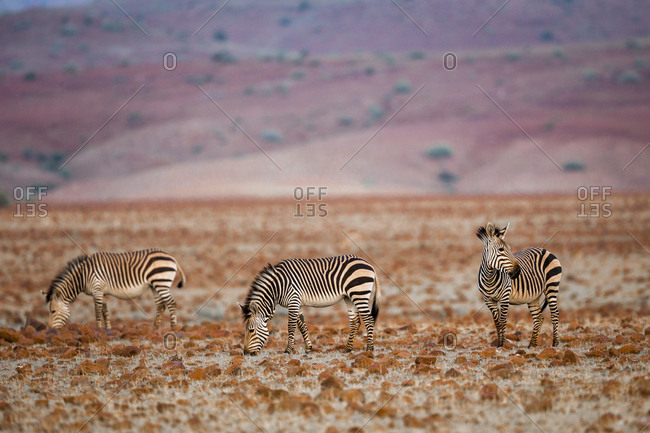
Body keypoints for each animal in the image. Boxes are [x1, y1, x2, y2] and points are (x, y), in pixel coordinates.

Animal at [45, 248, 185, 330]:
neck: (83, 276)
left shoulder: (97, 289)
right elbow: (105, 312)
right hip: (155, 285)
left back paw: (173, 327)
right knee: (161, 305)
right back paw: (155, 327)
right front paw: (108, 329)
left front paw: (97, 329)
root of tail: (171, 257)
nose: (49, 329)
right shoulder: (103, 292)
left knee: (172, 303)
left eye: (53, 311)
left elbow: (97, 311)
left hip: (161, 282)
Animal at [239, 255, 380, 352]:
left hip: (359, 293)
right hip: (349, 297)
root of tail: (369, 264)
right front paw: (308, 348)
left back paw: (369, 348)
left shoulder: (293, 300)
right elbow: (302, 325)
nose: (246, 353)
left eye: (251, 330)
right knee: (355, 322)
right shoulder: (298, 303)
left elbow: (291, 326)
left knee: (369, 320)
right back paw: (348, 348)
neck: (277, 287)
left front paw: (288, 350)